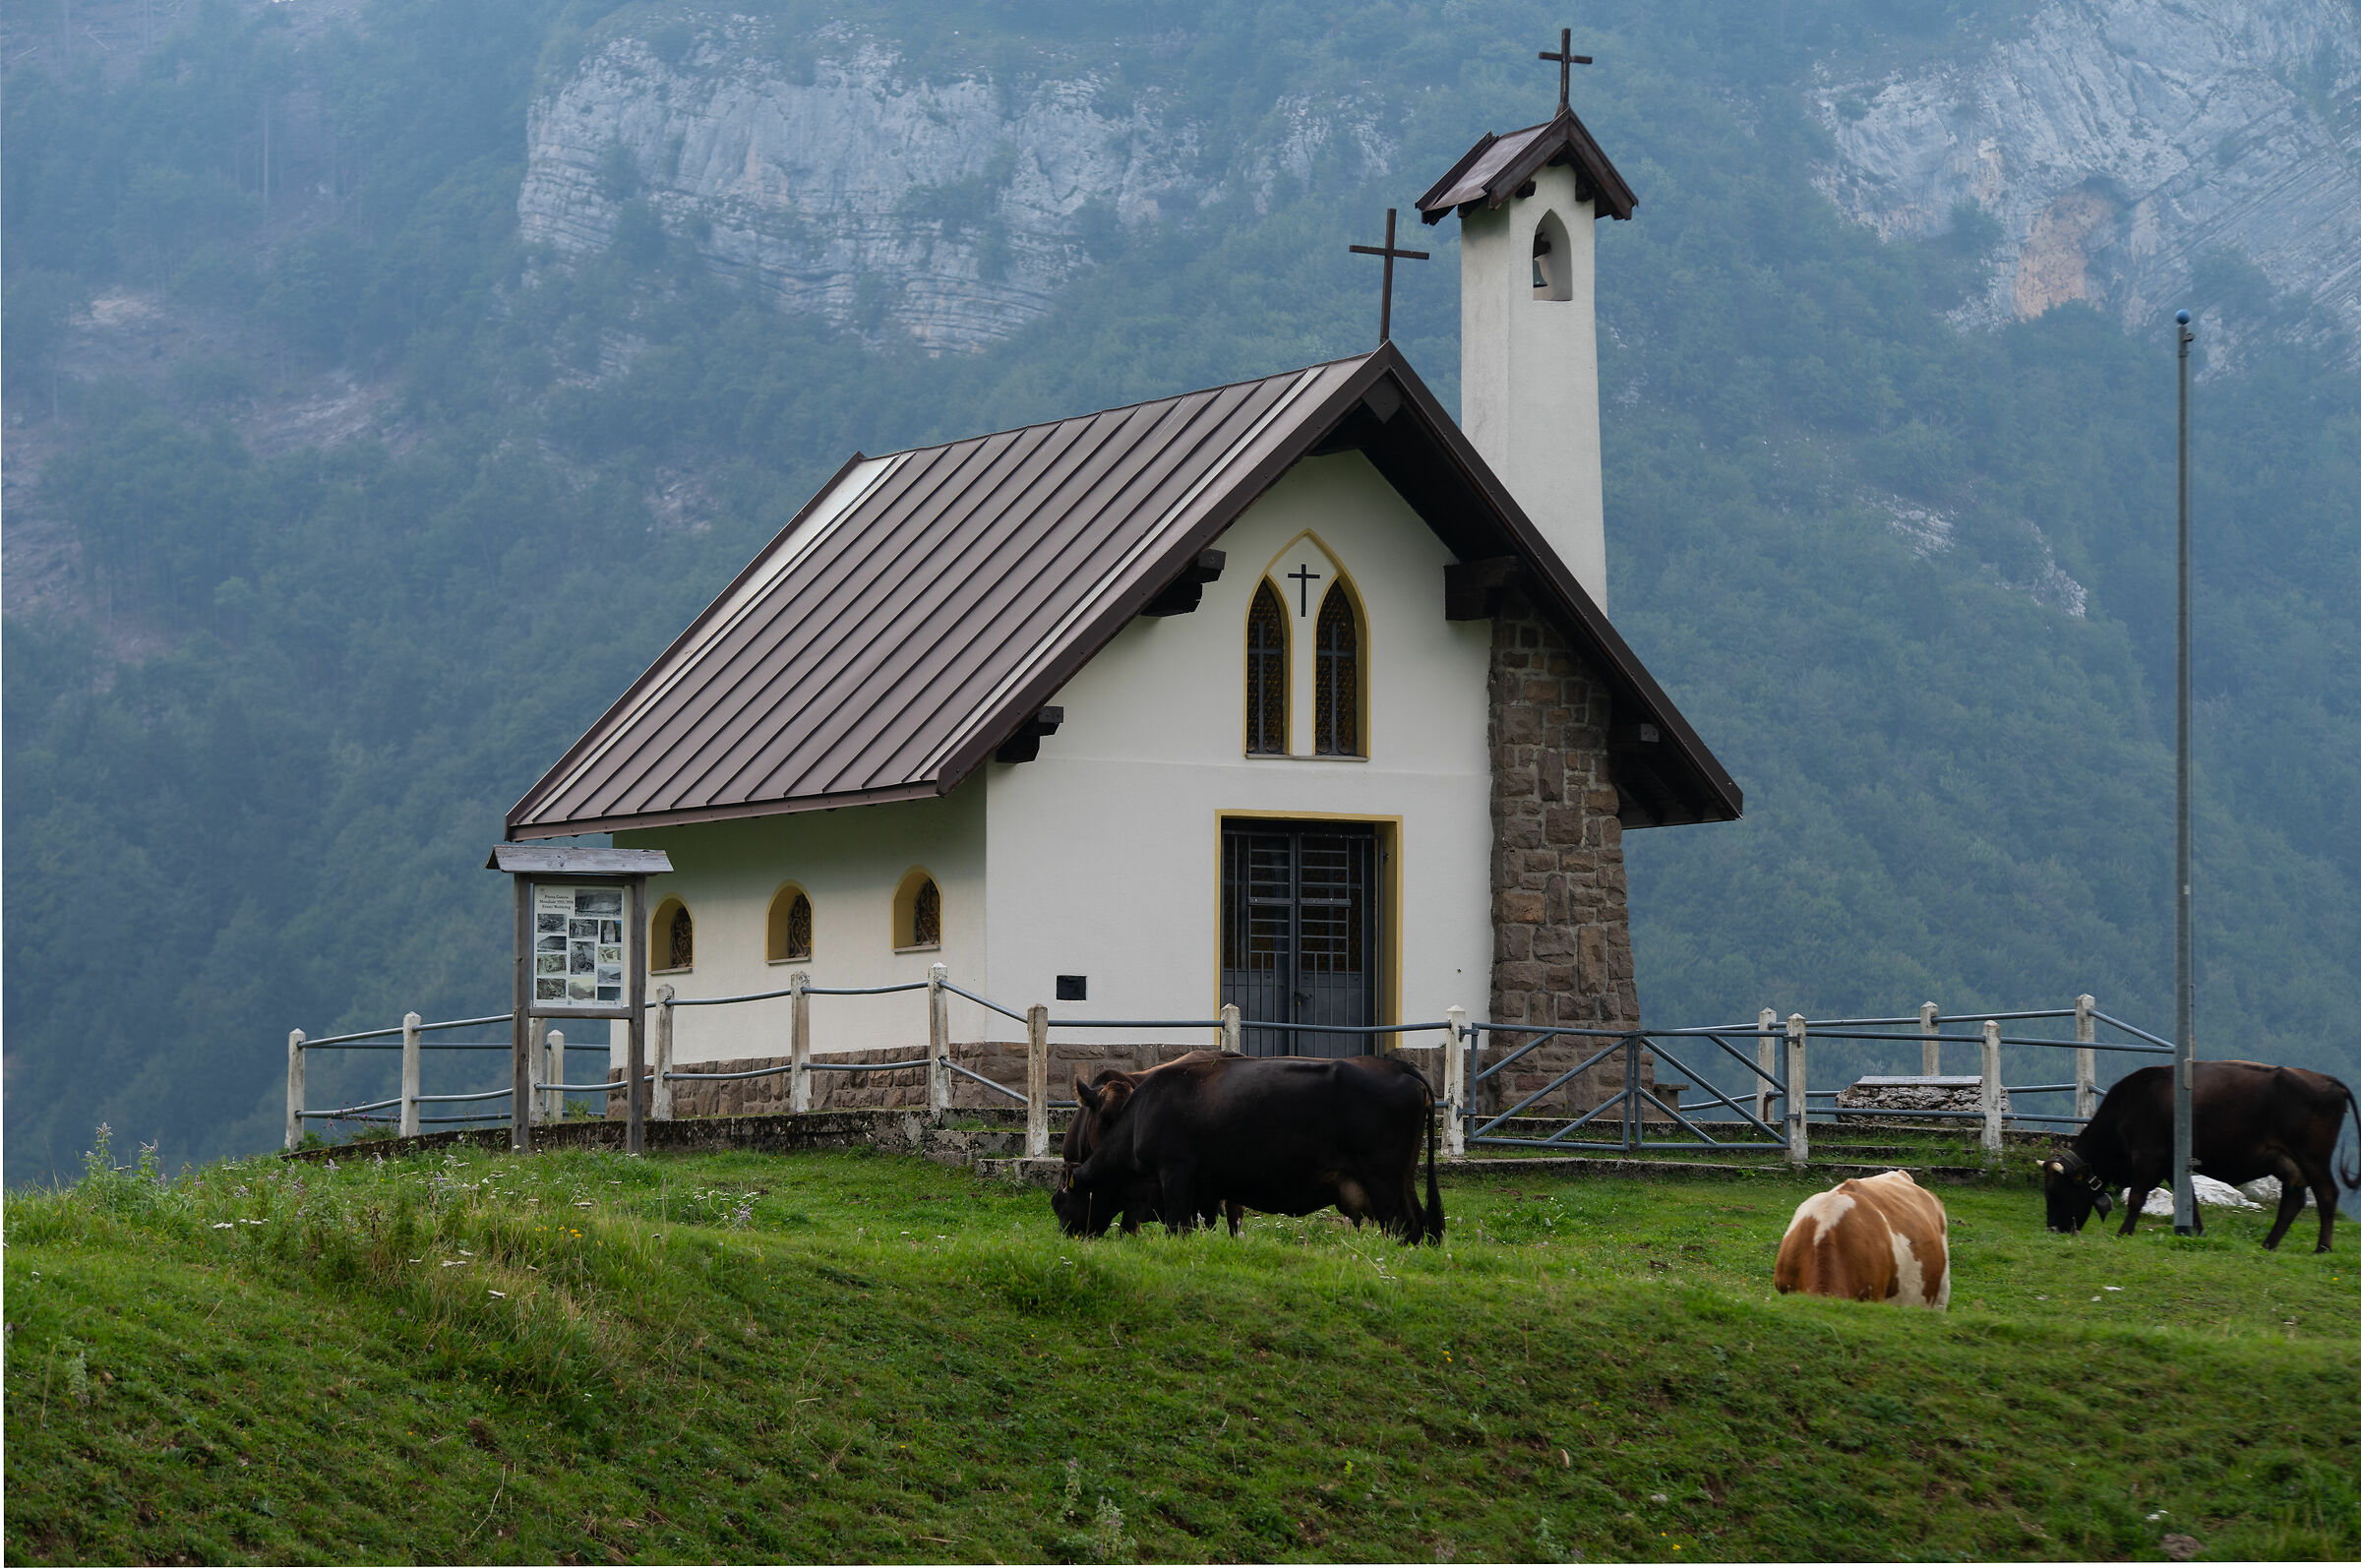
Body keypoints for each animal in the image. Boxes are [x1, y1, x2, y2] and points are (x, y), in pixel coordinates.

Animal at [1051, 1051, 1443, 1245]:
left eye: (1058, 1203)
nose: (1066, 1236)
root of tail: (1399, 1067)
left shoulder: (1175, 1173)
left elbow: (1176, 1227)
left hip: (1384, 1182)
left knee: (1404, 1225)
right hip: (1401, 1181)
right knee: (1419, 1226)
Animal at [2042, 1060, 2360, 1252]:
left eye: (2057, 1194)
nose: (2053, 1230)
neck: (2128, 1105)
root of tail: (2328, 1080)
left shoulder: (2147, 1156)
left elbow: (2137, 1198)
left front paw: (2123, 1233)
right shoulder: (2172, 1164)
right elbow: (2190, 1199)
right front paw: (2196, 1233)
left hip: (2313, 1158)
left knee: (2327, 1195)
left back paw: (2322, 1248)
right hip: (2286, 1162)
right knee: (2292, 1202)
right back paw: (2268, 1245)